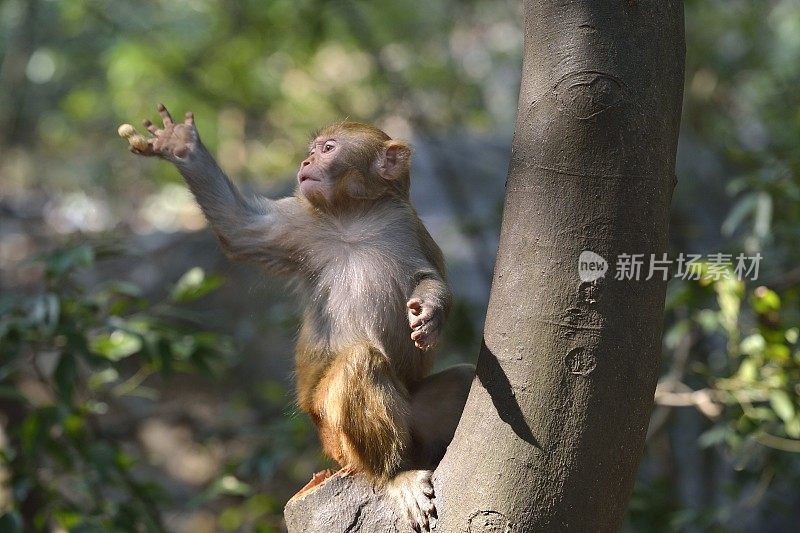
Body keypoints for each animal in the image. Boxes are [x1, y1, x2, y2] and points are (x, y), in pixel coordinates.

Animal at [119, 106, 476, 528]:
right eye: (312, 150)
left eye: (328, 149)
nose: (305, 163)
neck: (354, 219)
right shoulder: (301, 222)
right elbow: (241, 229)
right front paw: (180, 145)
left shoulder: (407, 225)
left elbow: (428, 278)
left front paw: (431, 314)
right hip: (336, 436)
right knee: (359, 364)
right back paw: (394, 474)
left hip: (414, 413)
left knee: (462, 380)